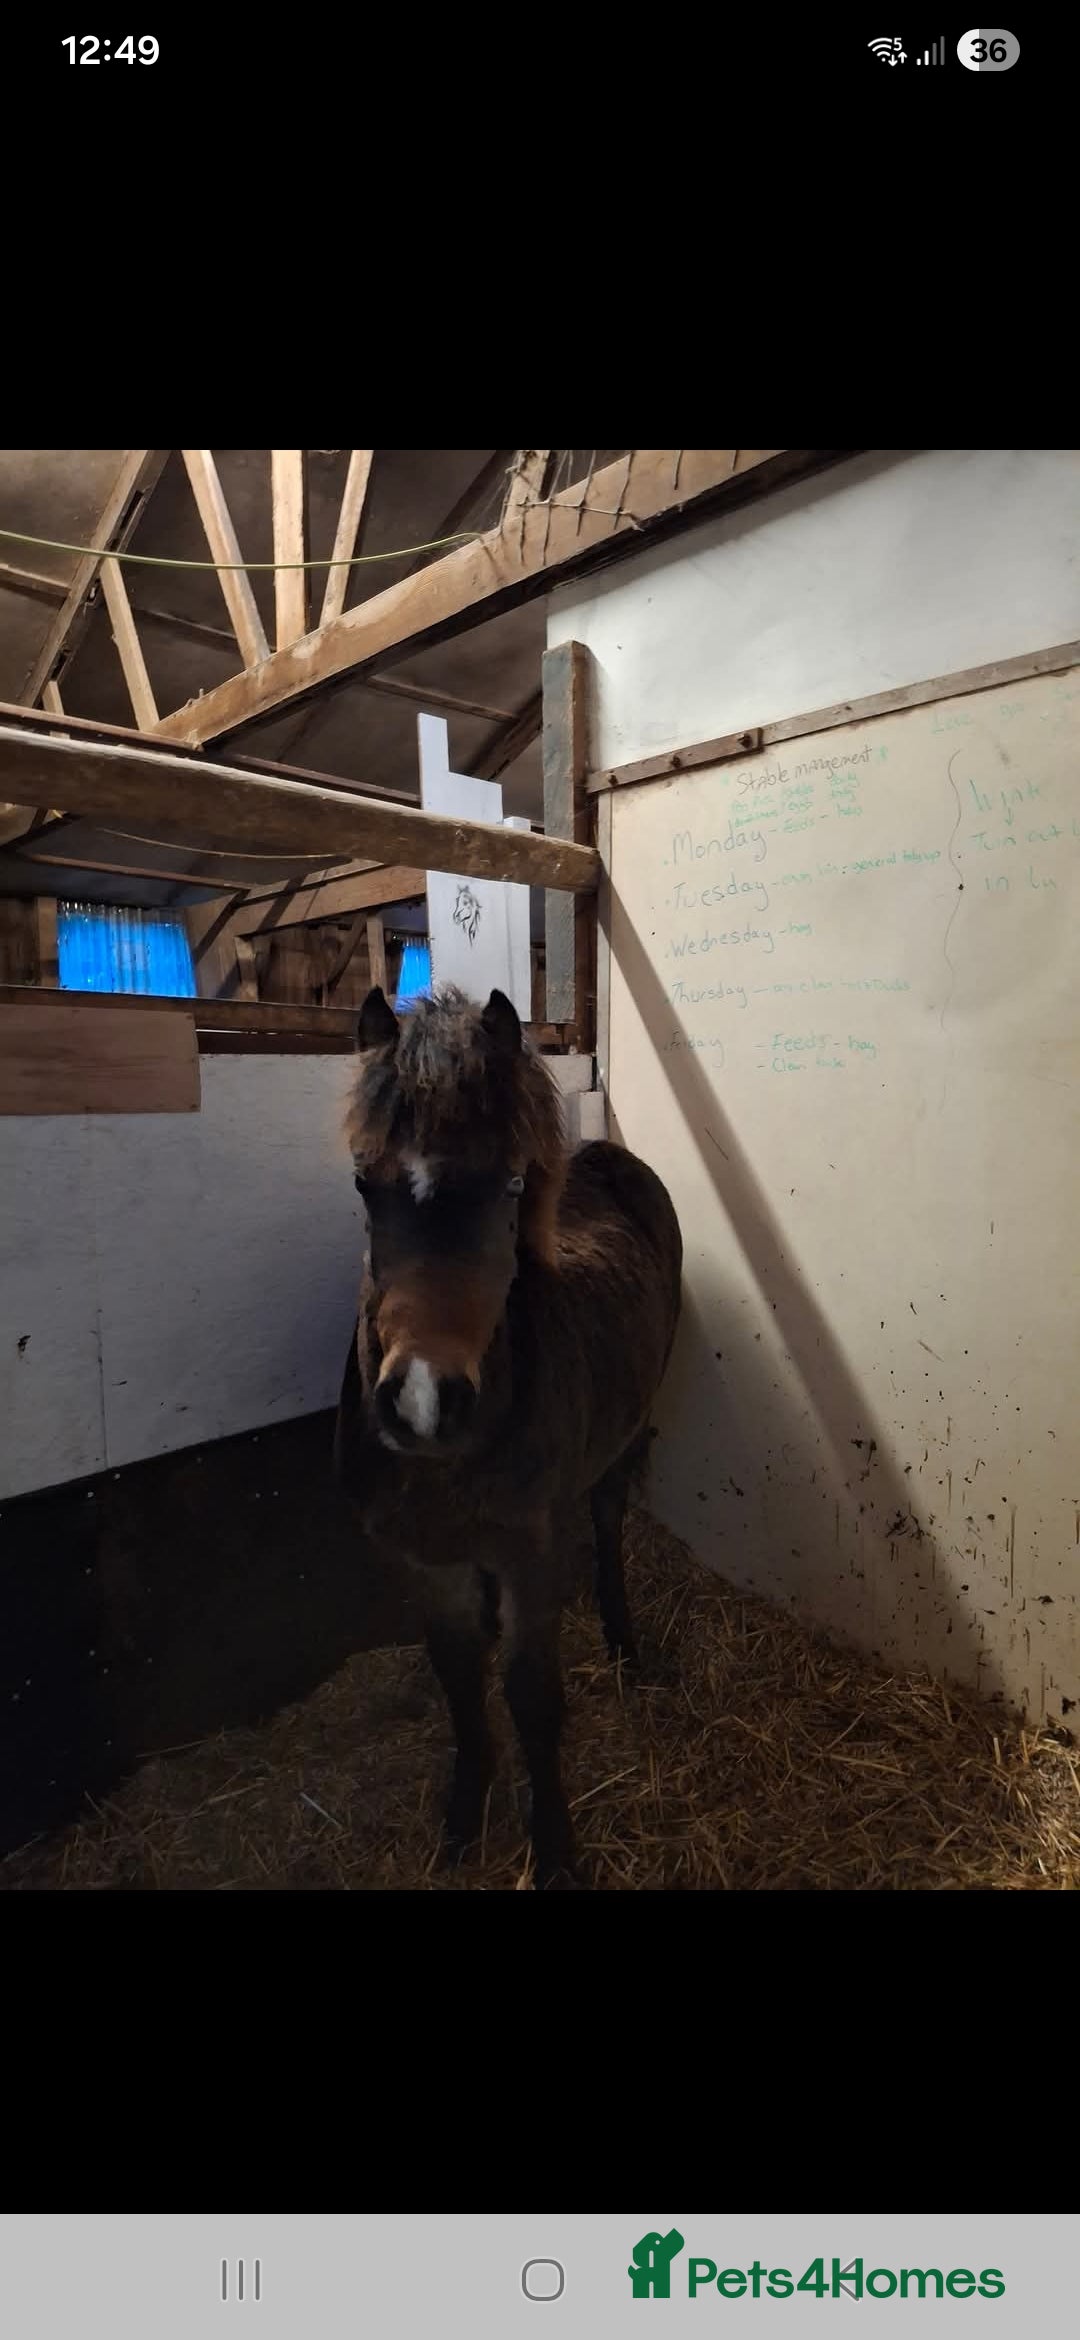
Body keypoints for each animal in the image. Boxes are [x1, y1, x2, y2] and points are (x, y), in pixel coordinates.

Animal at [334, 981, 683, 1888]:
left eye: (513, 1182)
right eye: (363, 1182)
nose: (424, 1400)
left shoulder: (531, 1555)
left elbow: (532, 1697)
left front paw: (553, 1846)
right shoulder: (428, 1558)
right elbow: (462, 1680)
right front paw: (463, 1818)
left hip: (621, 1444)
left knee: (608, 1527)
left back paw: (625, 1645)